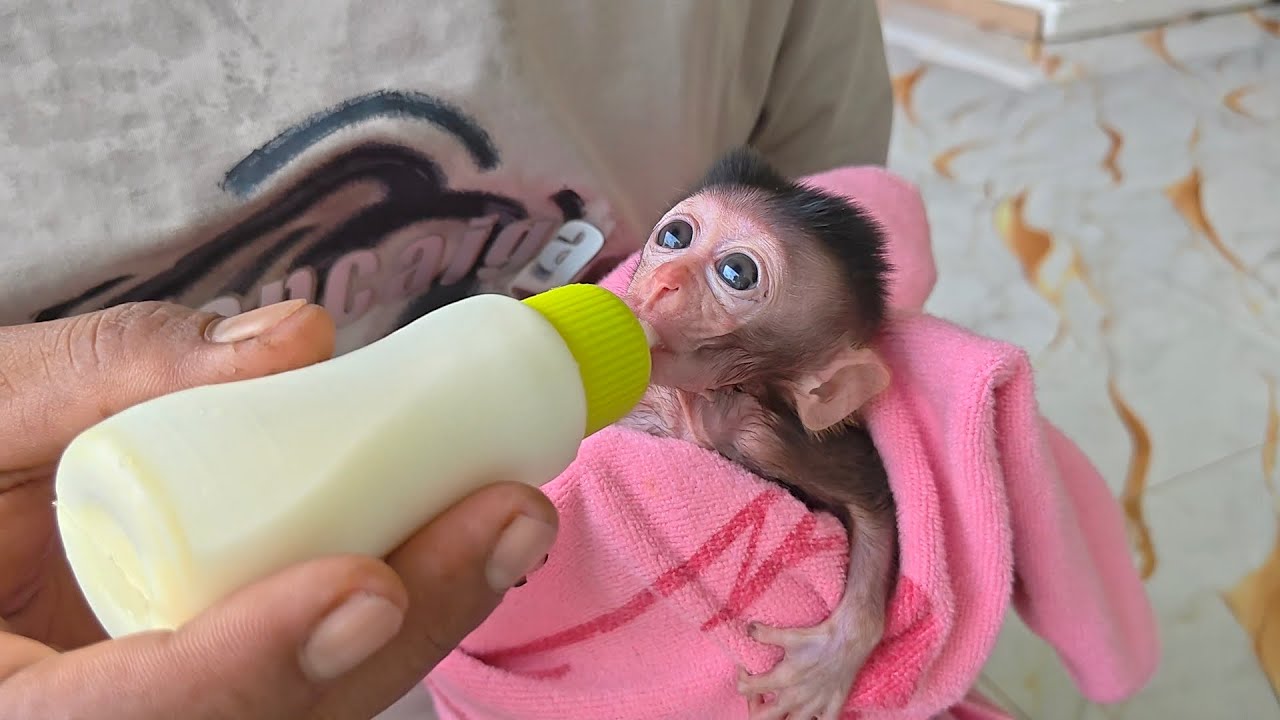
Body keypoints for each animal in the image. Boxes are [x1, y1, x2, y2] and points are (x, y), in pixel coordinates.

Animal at [616, 147, 898, 720]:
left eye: (737, 272)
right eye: (675, 236)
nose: (665, 280)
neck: (695, 408)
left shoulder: (768, 436)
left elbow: (872, 502)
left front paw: (833, 656)